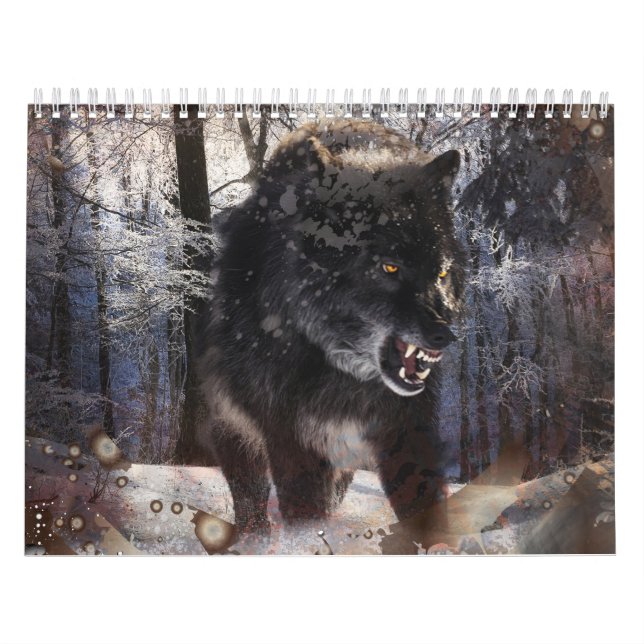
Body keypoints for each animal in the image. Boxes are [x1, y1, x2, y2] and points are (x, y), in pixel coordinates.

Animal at [196, 120, 464, 533]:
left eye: (441, 273)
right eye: (390, 266)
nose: (444, 335)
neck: (346, 374)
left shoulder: (407, 432)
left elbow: (425, 511)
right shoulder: (293, 441)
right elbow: (305, 515)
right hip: (236, 432)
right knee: (250, 501)